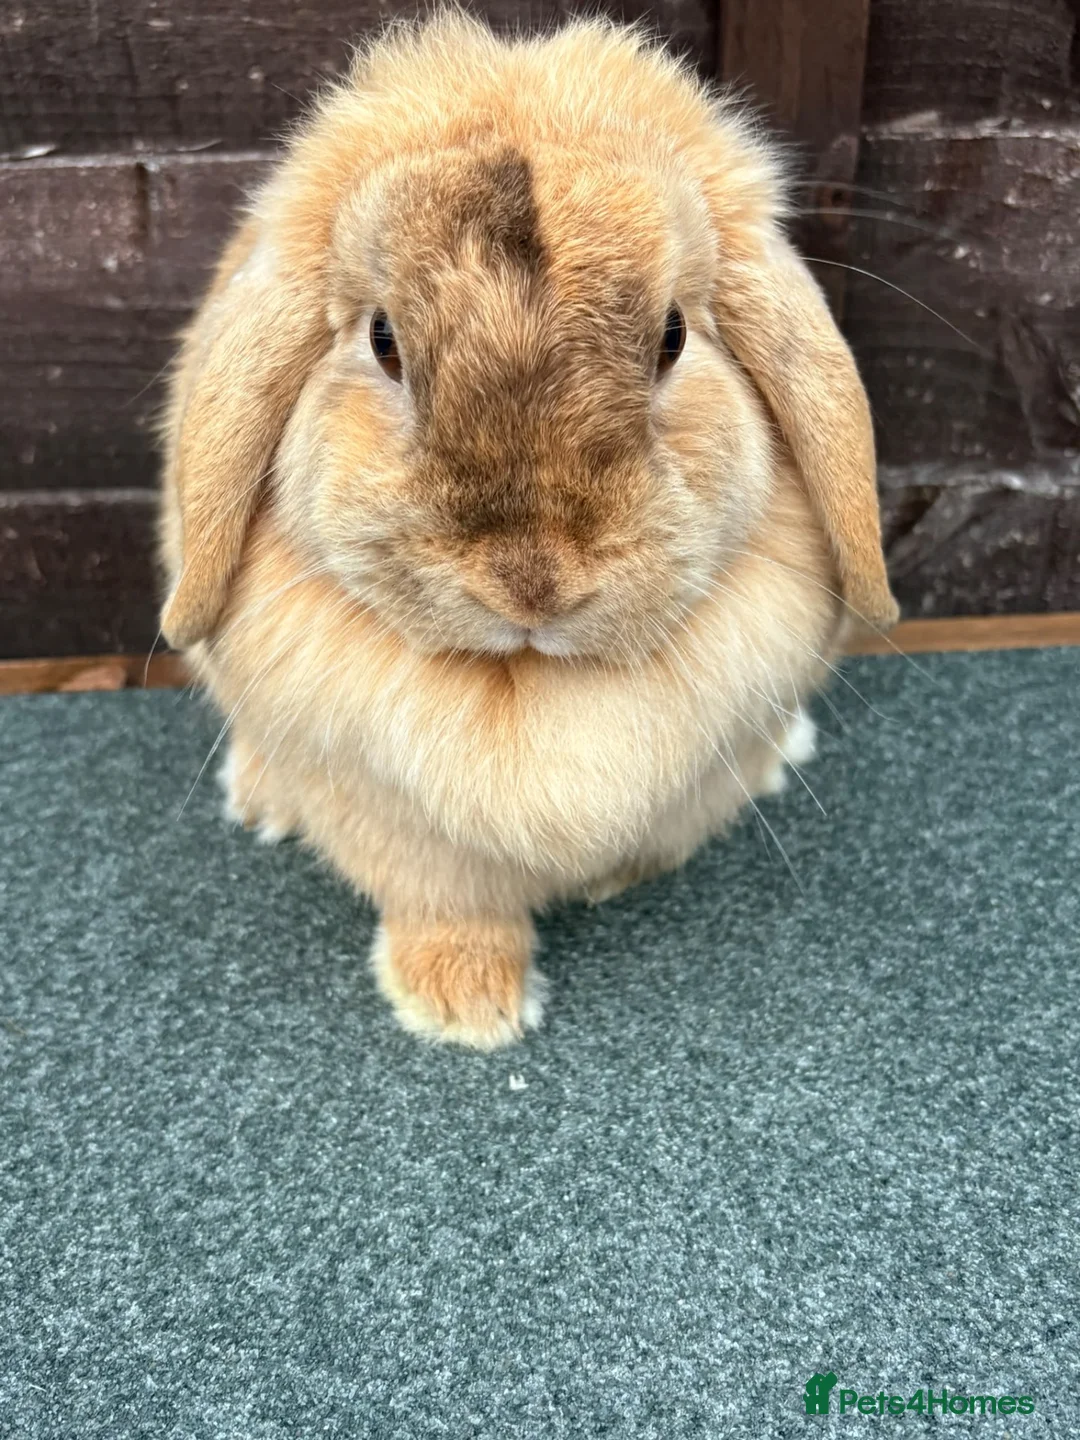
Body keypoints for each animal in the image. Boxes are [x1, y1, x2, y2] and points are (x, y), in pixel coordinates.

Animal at [159, 9, 898, 1050]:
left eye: (673, 337)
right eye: (383, 341)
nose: (533, 581)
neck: (529, 682)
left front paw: (609, 879)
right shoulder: (404, 835)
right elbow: (449, 906)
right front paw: (465, 1009)